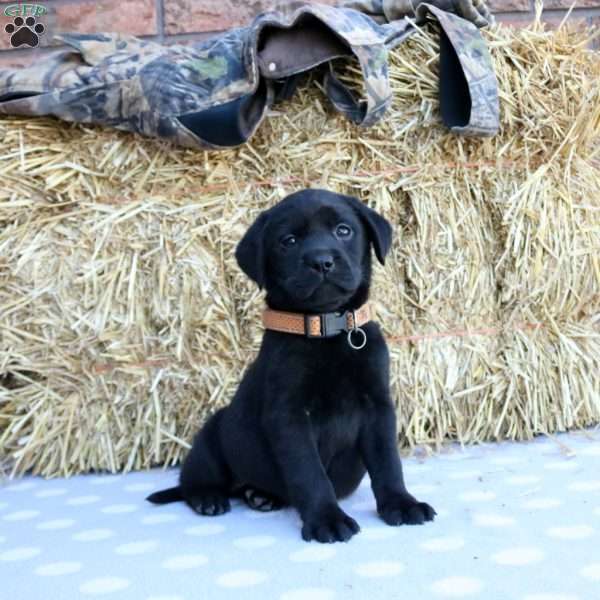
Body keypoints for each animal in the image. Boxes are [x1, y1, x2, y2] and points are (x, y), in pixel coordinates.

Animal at [147, 189, 434, 544]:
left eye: (343, 230)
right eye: (289, 240)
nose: (321, 261)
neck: (326, 331)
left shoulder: (378, 406)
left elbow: (388, 462)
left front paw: (401, 503)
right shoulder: (289, 416)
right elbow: (309, 472)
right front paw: (327, 519)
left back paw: (260, 495)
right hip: (212, 437)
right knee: (194, 478)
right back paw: (208, 498)